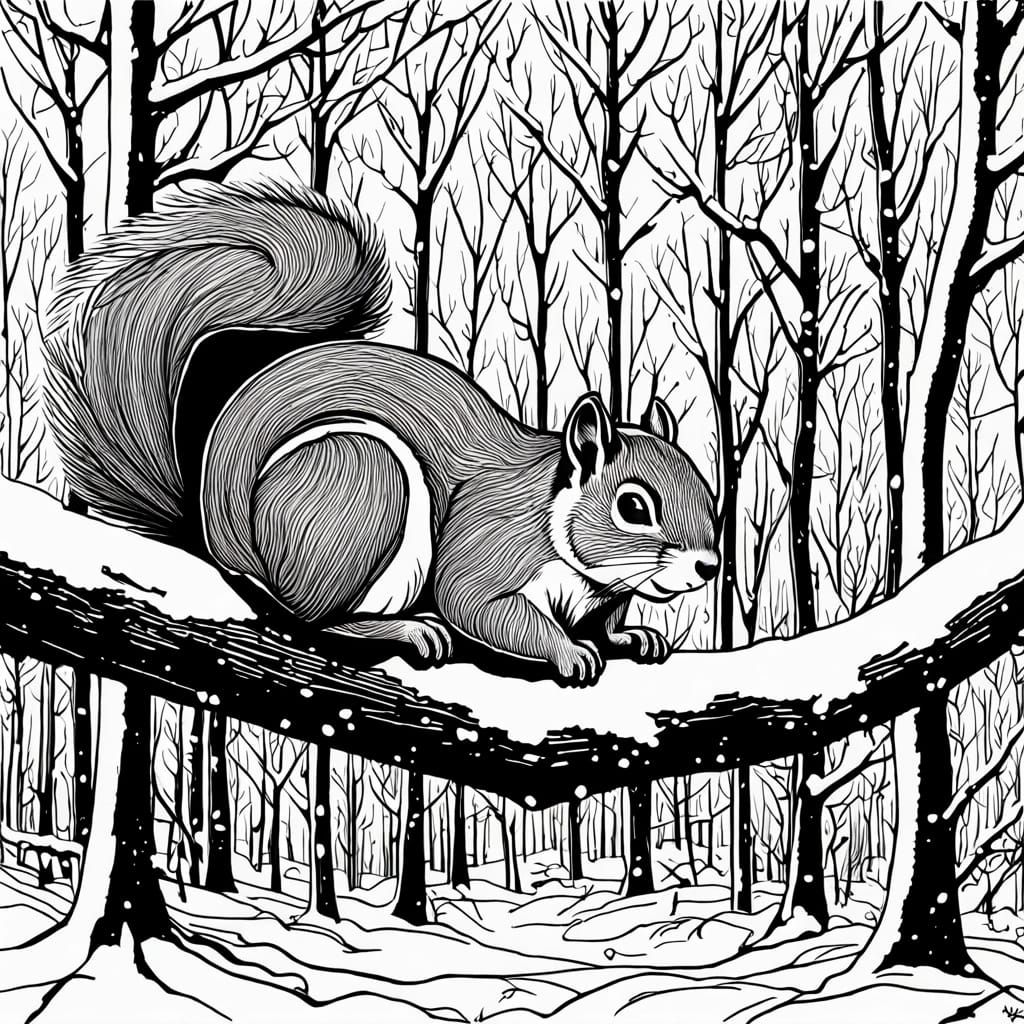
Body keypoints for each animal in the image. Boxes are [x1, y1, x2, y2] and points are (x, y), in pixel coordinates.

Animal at [44, 181, 719, 686]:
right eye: (634, 506)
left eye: (708, 493)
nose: (710, 567)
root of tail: (224, 537)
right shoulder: (486, 546)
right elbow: (484, 608)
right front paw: (569, 652)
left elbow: (610, 620)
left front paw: (632, 636)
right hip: (366, 485)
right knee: (313, 620)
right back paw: (407, 629)